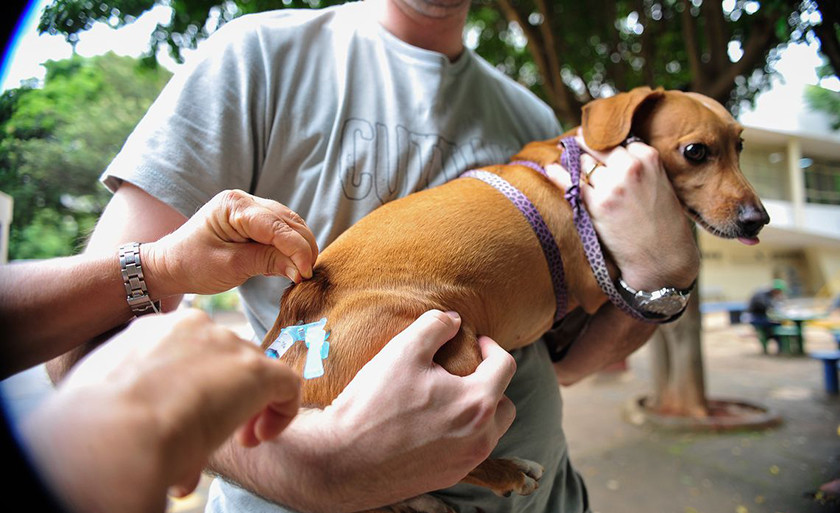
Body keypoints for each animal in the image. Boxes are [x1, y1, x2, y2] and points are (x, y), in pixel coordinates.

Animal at [260, 87, 768, 508]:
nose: (758, 219)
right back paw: (505, 472)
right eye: (696, 151)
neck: (574, 165)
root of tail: (301, 310)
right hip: (456, 348)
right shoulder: (597, 284)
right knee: (439, 464)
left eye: (740, 146)